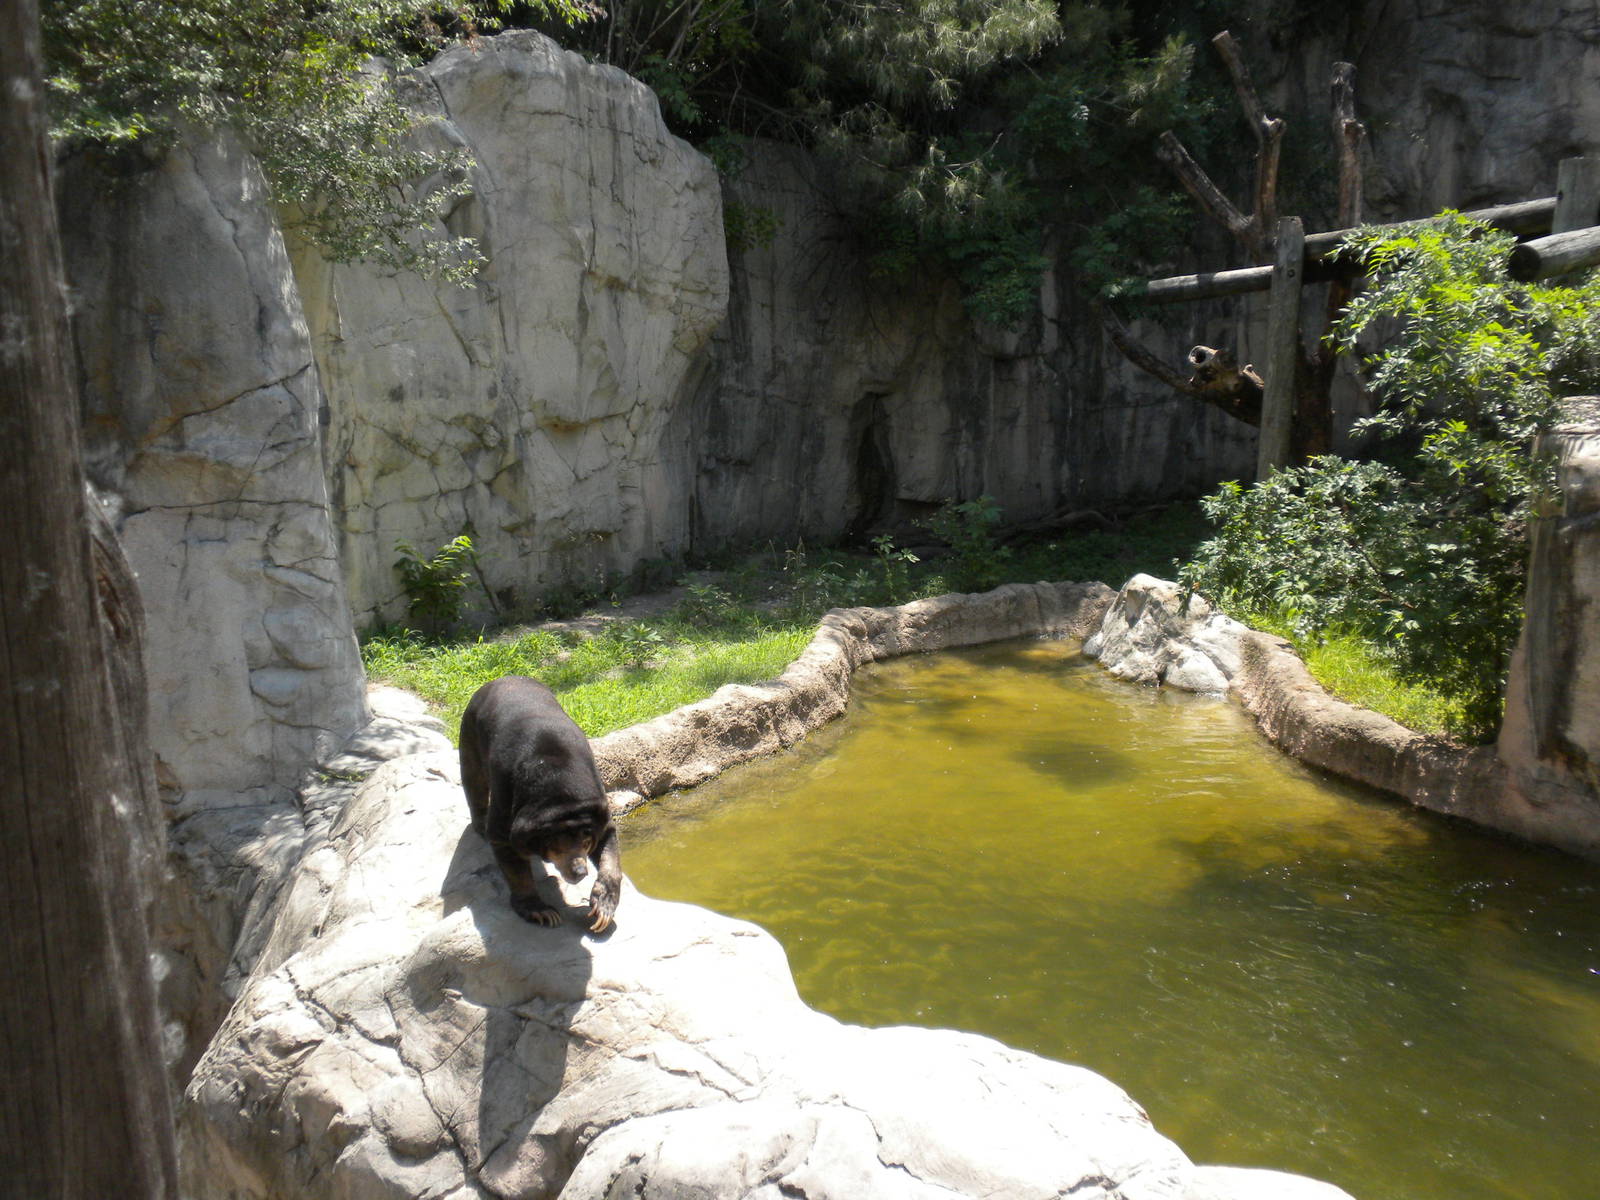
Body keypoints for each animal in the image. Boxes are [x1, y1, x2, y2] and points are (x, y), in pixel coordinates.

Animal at [459, 675, 621, 932]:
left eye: (586, 842)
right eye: (557, 845)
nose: (580, 871)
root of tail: (503, 678)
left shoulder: (597, 806)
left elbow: (609, 844)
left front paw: (602, 909)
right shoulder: (507, 795)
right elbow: (507, 849)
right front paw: (542, 912)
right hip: (470, 731)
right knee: (473, 778)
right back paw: (479, 824)